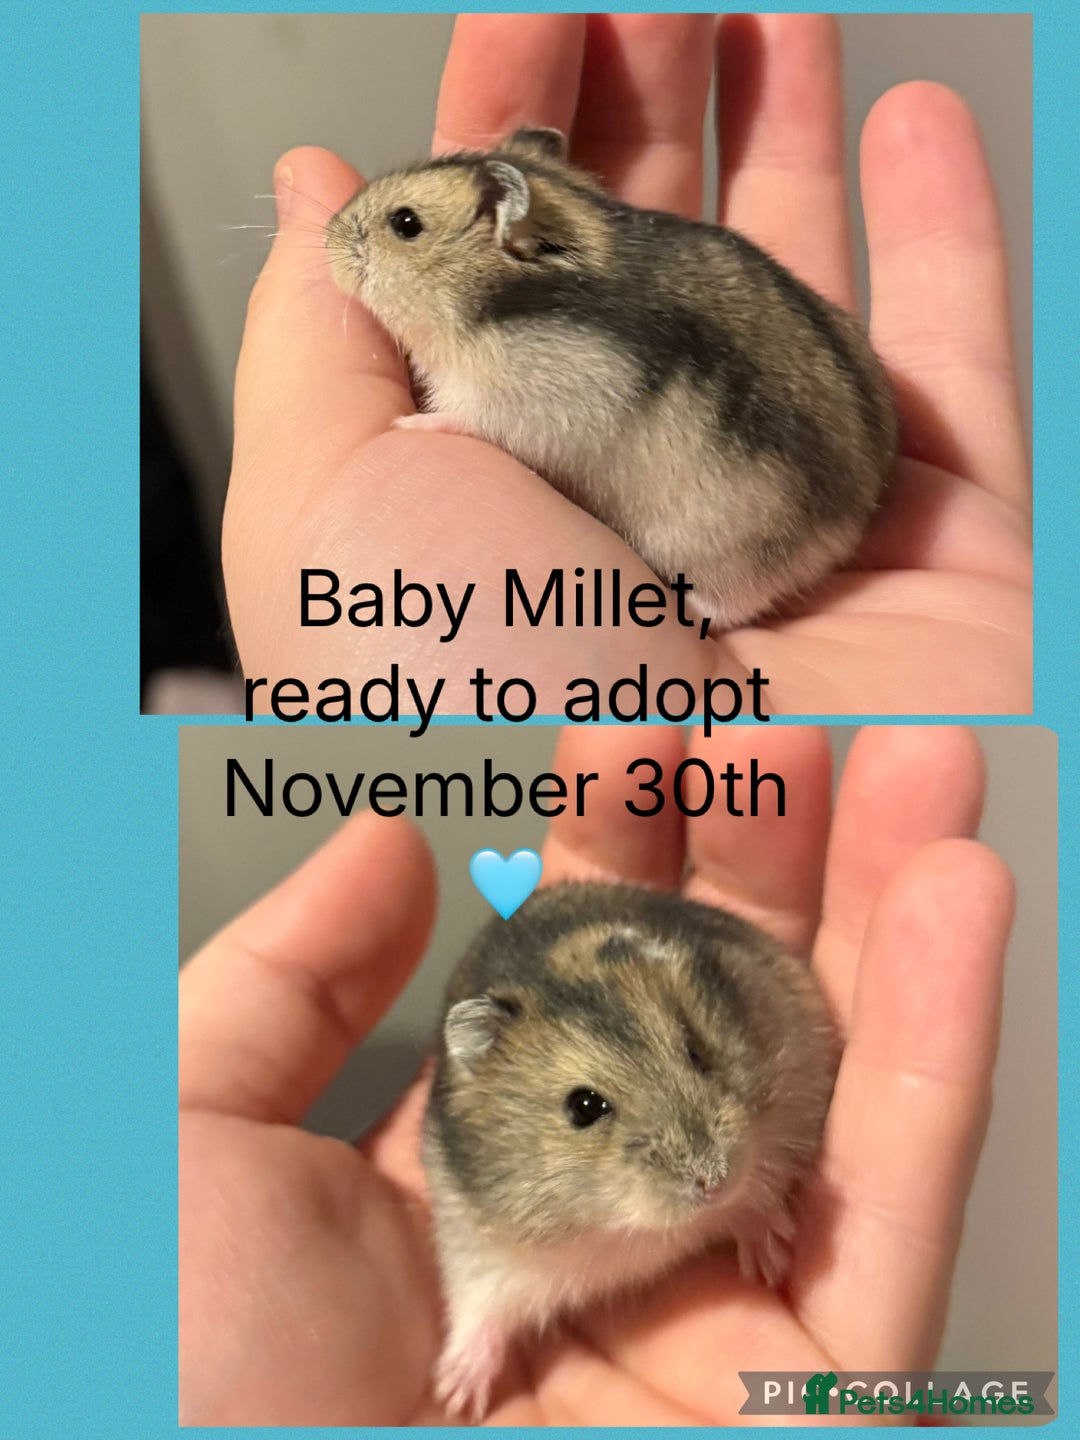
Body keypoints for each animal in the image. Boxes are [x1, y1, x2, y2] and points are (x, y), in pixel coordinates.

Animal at [325, 126, 897, 630]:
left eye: (405, 223)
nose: (329, 236)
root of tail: (852, 520)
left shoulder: (521, 397)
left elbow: (464, 417)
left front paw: (409, 423)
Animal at [422, 882, 839, 1419]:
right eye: (583, 1106)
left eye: (696, 1050)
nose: (715, 1180)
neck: (625, 1230)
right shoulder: (477, 1244)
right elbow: (478, 1307)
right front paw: (455, 1399)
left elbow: (758, 1194)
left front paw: (772, 1261)